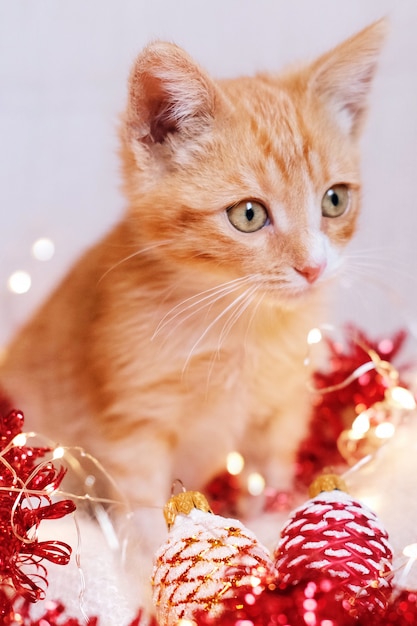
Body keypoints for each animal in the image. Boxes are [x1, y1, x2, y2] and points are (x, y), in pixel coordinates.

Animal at [0, 23, 386, 512]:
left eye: (335, 200)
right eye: (248, 215)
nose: (314, 267)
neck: (243, 325)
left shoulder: (283, 407)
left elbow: (270, 477)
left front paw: (271, 511)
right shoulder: (132, 426)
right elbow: (144, 509)